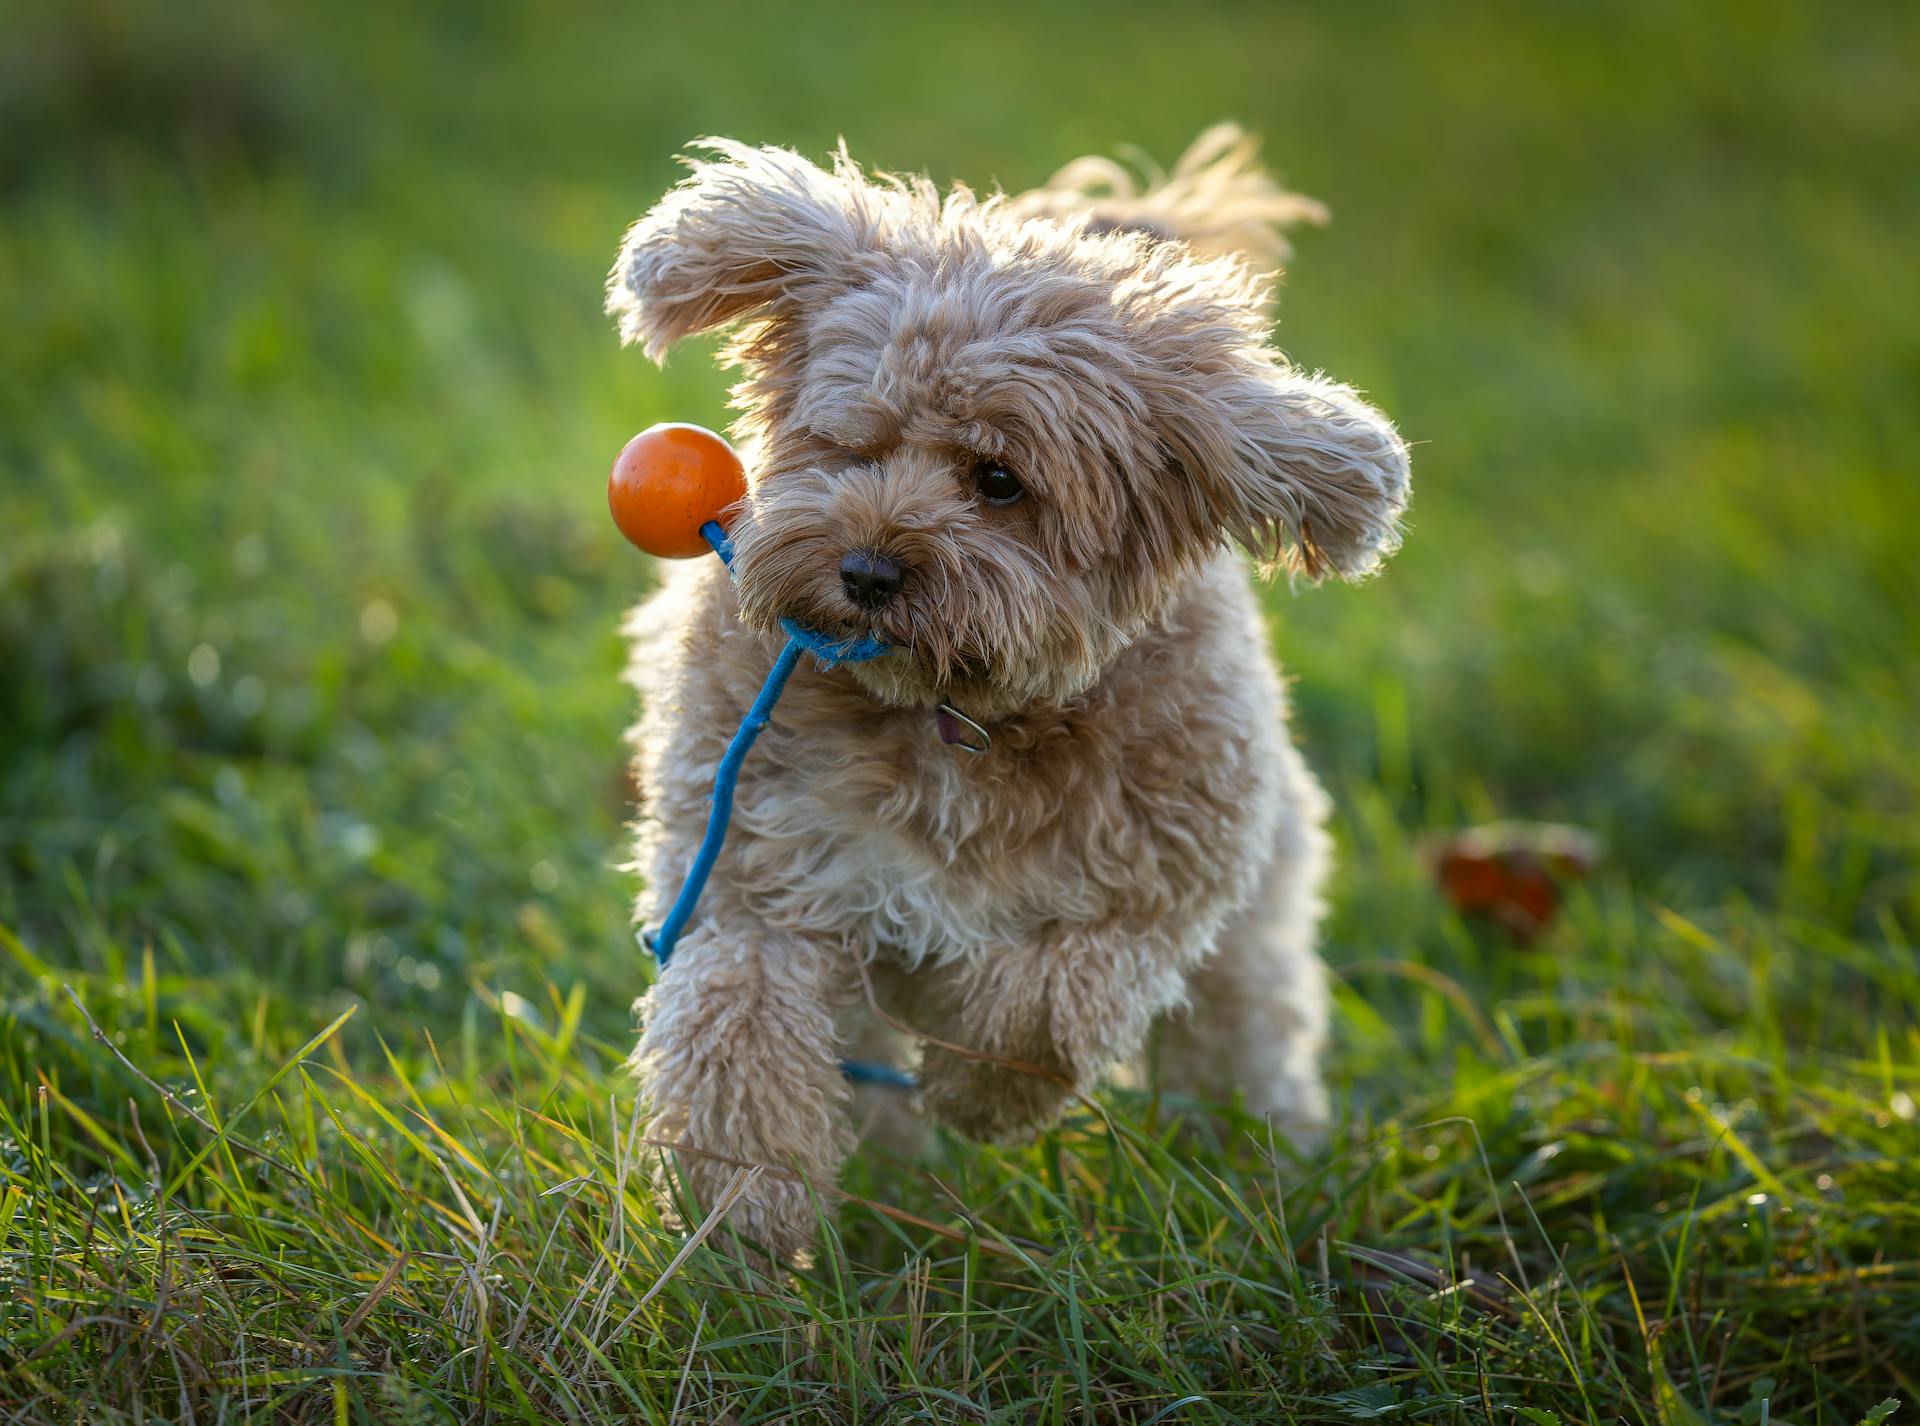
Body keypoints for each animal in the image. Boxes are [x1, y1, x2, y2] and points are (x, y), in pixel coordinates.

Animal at [610, 125, 1413, 1259]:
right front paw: (740, 1226)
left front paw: (976, 1093)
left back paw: (1265, 1162)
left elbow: (1046, 1008)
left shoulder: (1152, 891)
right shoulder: (757, 876)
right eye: (853, 443)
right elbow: (739, 1038)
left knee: (1243, 1024)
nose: (866, 570)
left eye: (1000, 481)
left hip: (1249, 918)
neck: (957, 720)